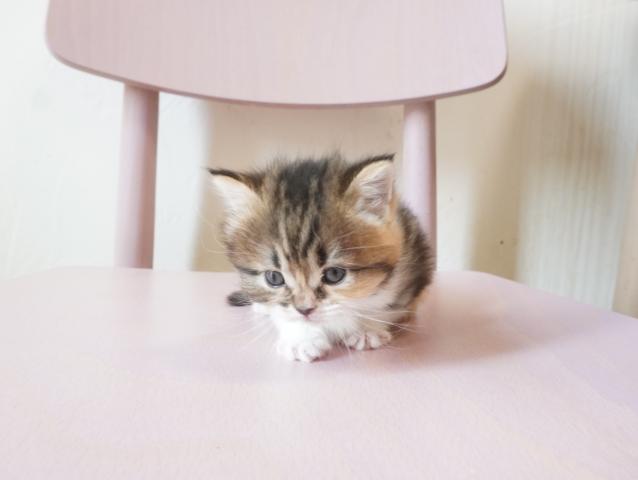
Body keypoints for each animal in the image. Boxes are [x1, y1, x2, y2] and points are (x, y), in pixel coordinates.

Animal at [208, 154, 433, 362]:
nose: (304, 310)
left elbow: (386, 304)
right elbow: (281, 312)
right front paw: (301, 337)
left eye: (334, 275)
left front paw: (366, 329)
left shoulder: (412, 266)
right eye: (274, 278)